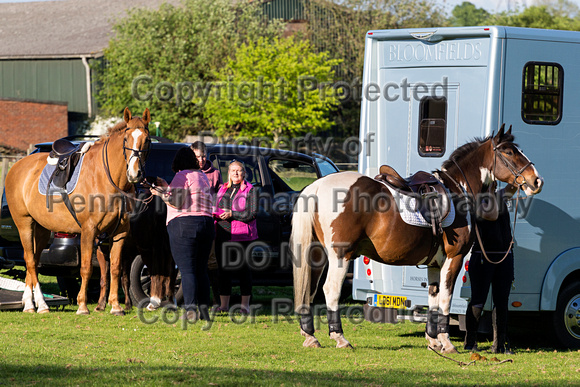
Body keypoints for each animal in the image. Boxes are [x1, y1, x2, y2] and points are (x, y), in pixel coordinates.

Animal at [5, 107, 150, 316]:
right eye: (126, 139)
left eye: (147, 140)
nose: (135, 173)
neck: (106, 178)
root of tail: (16, 166)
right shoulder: (89, 231)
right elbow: (86, 268)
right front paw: (82, 306)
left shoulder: (120, 233)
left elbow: (115, 268)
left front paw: (115, 306)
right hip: (24, 223)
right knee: (31, 261)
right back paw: (39, 305)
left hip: (41, 228)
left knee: (33, 260)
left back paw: (28, 303)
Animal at [294, 126, 544, 354]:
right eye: (509, 152)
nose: (536, 181)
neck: (458, 190)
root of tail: (318, 185)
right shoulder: (454, 258)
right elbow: (445, 300)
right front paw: (446, 343)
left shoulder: (434, 264)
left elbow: (433, 299)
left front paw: (433, 341)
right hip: (340, 256)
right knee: (330, 290)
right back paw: (340, 338)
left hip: (316, 255)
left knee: (310, 290)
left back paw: (310, 337)